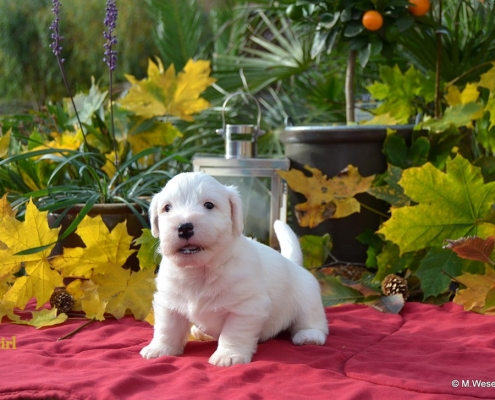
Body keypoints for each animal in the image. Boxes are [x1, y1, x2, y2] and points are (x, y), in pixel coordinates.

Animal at [142, 172, 330, 366]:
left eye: (209, 205)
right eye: (167, 207)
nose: (184, 227)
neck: (200, 270)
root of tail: (292, 263)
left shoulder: (246, 308)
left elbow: (233, 333)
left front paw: (228, 355)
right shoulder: (168, 301)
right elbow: (167, 328)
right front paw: (161, 348)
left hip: (308, 301)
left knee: (313, 321)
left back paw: (309, 335)